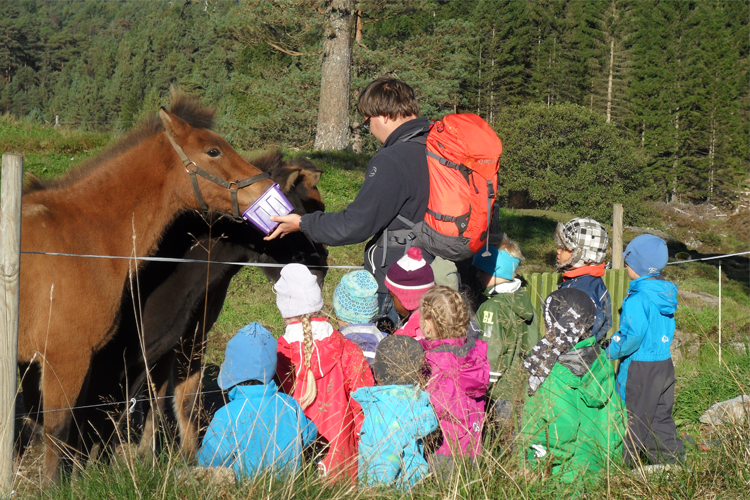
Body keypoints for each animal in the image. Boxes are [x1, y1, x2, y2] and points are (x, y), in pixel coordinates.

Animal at [19, 92, 274, 482]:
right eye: (213, 151)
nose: (265, 188)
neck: (78, 238)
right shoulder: (66, 356)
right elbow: (57, 431)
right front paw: (53, 486)